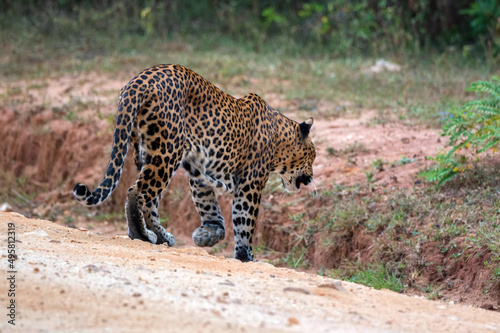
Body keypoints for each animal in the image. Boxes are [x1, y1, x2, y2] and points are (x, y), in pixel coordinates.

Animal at [73, 64, 316, 262]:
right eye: (312, 157)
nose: (312, 177)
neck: (279, 137)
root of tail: (138, 80)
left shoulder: (201, 174)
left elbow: (209, 207)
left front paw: (208, 234)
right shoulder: (251, 183)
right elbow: (244, 219)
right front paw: (246, 256)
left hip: (145, 151)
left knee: (149, 200)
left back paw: (160, 236)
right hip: (166, 152)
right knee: (137, 192)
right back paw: (140, 234)